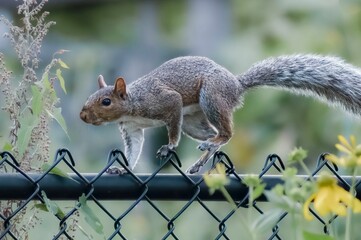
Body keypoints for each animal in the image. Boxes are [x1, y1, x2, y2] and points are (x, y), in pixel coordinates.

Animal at [79, 54, 361, 174]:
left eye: (106, 101)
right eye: (89, 97)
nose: (82, 116)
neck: (133, 103)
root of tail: (236, 84)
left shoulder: (165, 102)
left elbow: (172, 127)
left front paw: (169, 146)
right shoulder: (132, 130)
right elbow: (133, 151)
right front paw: (123, 169)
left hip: (211, 98)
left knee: (227, 133)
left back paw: (213, 144)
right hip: (193, 122)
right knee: (214, 136)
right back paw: (203, 158)